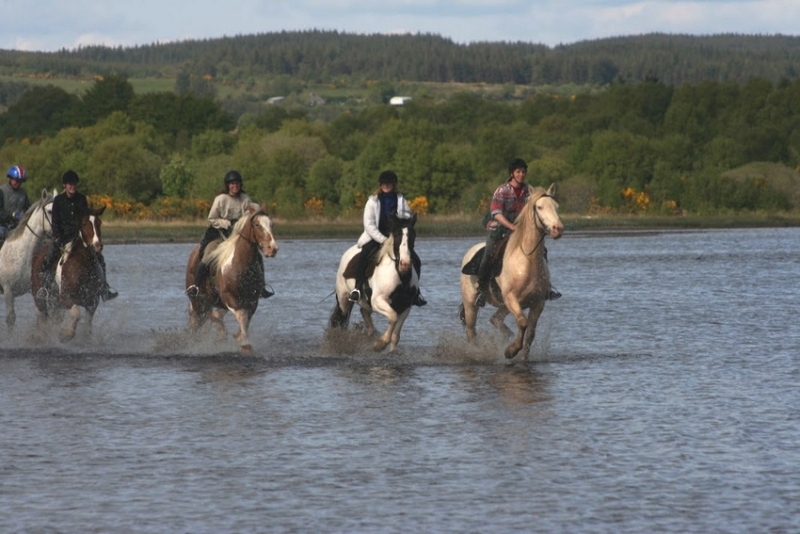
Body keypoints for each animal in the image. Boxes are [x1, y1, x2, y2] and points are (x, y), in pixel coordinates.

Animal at [29, 207, 106, 342]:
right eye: (84, 224)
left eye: (99, 223)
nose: (97, 246)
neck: (83, 265)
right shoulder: (67, 299)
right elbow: (76, 314)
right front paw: (66, 334)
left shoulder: (92, 301)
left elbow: (88, 321)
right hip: (40, 298)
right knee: (43, 317)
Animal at [185, 206, 278, 356]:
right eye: (257, 225)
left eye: (271, 224)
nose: (273, 249)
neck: (240, 264)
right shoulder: (230, 299)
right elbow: (242, 316)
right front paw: (245, 344)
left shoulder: (252, 300)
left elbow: (245, 319)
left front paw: (238, 337)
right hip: (197, 300)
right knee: (196, 321)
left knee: (214, 316)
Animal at [330, 214, 422, 356]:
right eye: (396, 235)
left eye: (413, 236)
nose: (405, 264)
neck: (401, 276)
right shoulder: (378, 300)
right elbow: (393, 317)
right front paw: (380, 344)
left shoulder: (405, 306)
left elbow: (395, 335)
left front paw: (391, 352)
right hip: (343, 299)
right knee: (341, 319)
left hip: (365, 302)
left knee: (364, 311)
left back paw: (370, 332)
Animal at [460, 186, 564, 362]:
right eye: (539, 207)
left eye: (556, 206)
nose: (558, 229)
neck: (527, 261)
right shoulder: (511, 298)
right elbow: (523, 323)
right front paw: (510, 351)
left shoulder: (538, 303)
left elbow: (530, 332)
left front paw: (522, 357)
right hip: (471, 304)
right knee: (471, 331)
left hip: (503, 305)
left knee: (495, 319)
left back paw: (507, 334)